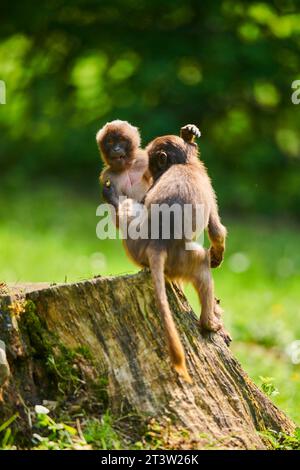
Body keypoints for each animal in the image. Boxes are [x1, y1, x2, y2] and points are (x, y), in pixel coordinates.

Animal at [103, 124, 227, 382]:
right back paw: (208, 323)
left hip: (136, 245)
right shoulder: (206, 184)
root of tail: (157, 244)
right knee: (202, 267)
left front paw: (189, 134)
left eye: (151, 164)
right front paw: (217, 255)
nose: (151, 173)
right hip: (183, 260)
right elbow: (216, 229)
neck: (185, 164)